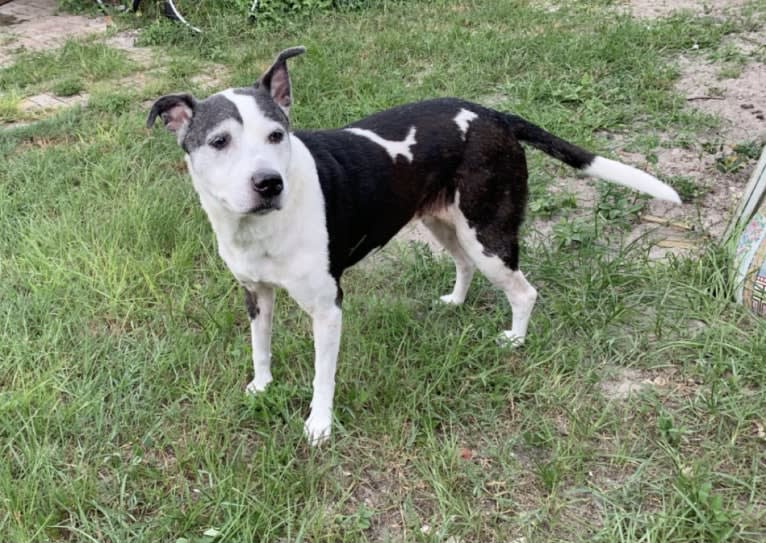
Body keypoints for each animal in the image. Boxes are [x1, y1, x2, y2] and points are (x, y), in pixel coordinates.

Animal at [147, 46, 680, 446]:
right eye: (219, 142)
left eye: (277, 134)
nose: (268, 183)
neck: (257, 228)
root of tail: (494, 115)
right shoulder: (255, 293)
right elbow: (260, 348)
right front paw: (261, 388)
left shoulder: (328, 308)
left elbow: (323, 376)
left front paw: (319, 425)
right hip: (445, 224)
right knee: (463, 264)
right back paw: (456, 302)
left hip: (487, 232)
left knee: (523, 290)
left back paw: (515, 339)